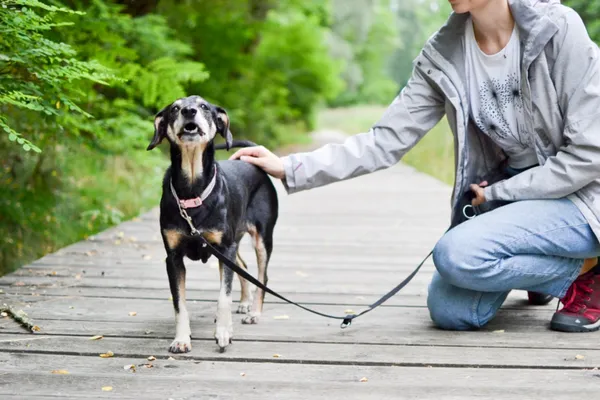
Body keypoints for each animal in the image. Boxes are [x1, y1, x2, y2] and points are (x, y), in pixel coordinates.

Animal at [145, 95, 278, 352]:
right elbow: (179, 303)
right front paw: (181, 339)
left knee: (262, 275)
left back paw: (254, 313)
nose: (188, 111)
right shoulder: (173, 257)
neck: (192, 192)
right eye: (174, 108)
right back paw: (245, 303)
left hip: (261, 238)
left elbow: (223, 296)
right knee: (243, 267)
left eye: (204, 106)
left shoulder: (224, 248)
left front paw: (223, 333)